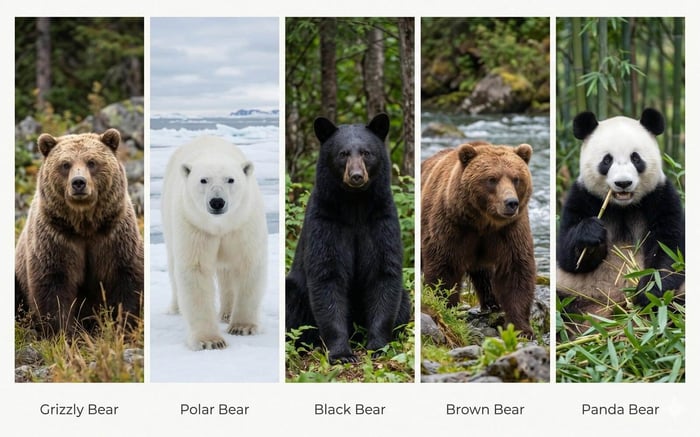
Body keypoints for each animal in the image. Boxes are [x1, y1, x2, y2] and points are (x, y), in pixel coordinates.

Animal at [15, 128, 144, 335]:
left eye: (92, 162)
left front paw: (123, 327)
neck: (84, 225)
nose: (78, 183)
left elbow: (126, 280)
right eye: (65, 164)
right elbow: (53, 287)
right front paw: (64, 333)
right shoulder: (55, 238)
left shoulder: (114, 236)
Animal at [161, 136, 267, 351]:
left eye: (230, 179)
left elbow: (249, 264)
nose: (217, 202)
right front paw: (210, 340)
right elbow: (195, 270)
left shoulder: (244, 223)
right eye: (203, 180)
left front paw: (242, 327)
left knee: (227, 271)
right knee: (173, 265)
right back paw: (176, 308)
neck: (219, 225)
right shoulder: (194, 225)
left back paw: (227, 313)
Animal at [285, 113, 411, 364]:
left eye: (366, 152)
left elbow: (383, 273)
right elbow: (327, 276)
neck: (355, 206)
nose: (356, 176)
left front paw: (378, 346)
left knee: (403, 301)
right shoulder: (325, 220)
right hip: (295, 291)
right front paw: (342, 353)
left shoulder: (381, 219)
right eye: (342, 154)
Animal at [421, 141, 536, 337]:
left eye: (516, 178)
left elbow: (516, 270)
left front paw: (521, 327)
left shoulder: (510, 230)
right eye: (492, 179)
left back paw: (492, 303)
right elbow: (444, 267)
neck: (483, 222)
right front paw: (445, 310)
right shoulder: (451, 226)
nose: (511, 202)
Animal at [557, 108, 685, 332]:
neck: (623, 207)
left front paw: (647, 293)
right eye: (607, 160)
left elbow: (670, 250)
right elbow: (567, 255)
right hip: (573, 291)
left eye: (636, 158)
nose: (623, 183)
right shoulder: (582, 196)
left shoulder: (661, 197)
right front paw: (590, 234)